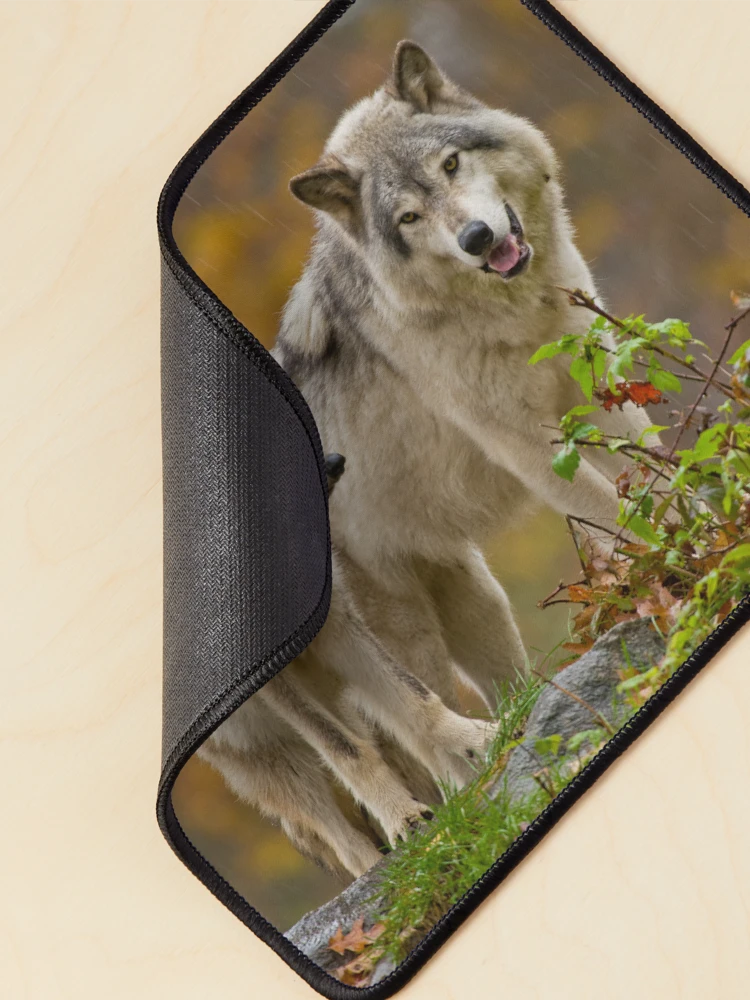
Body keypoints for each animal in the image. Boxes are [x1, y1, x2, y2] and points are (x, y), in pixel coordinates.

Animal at [275, 40, 655, 711]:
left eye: (450, 164)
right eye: (408, 217)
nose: (477, 237)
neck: (511, 311)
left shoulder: (594, 386)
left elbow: (658, 476)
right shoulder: (525, 444)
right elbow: (616, 509)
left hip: (473, 592)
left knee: (509, 697)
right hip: (407, 632)